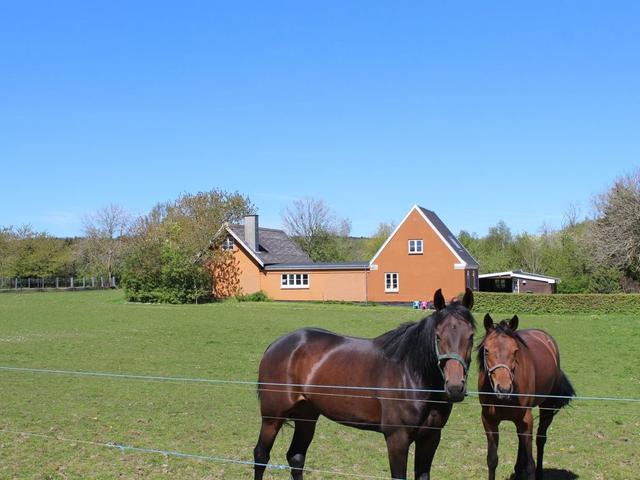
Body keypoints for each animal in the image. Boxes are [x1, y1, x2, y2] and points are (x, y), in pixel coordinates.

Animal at [254, 288, 476, 480]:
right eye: (437, 336)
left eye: (471, 336)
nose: (455, 387)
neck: (411, 374)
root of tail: (277, 344)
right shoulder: (397, 438)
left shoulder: (430, 438)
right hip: (272, 417)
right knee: (261, 456)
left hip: (306, 416)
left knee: (296, 457)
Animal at [476, 316, 576, 480]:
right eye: (486, 350)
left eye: (515, 350)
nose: (504, 389)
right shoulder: (488, 421)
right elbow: (492, 460)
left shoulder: (526, 420)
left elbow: (530, 464)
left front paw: (529, 469)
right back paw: (518, 469)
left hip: (546, 407)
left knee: (540, 439)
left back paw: (539, 472)